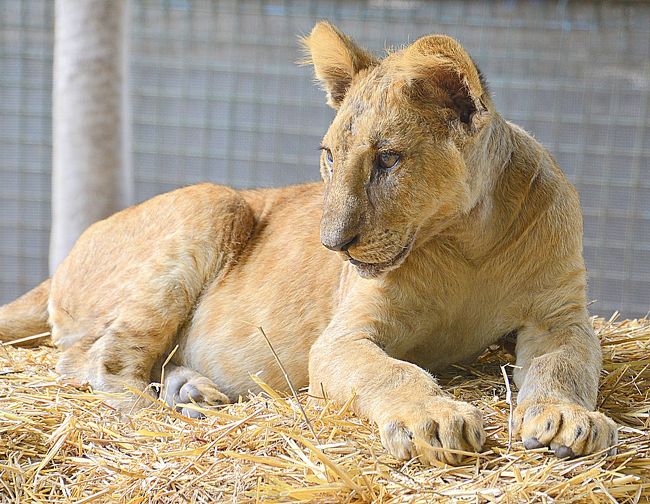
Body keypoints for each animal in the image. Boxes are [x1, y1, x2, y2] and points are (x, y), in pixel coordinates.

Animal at [1, 22, 616, 464]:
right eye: (329, 157)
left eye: (387, 159)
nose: (333, 244)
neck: (468, 240)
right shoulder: (343, 338)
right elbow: (390, 372)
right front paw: (433, 418)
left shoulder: (559, 316)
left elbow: (565, 367)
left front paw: (565, 419)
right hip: (216, 203)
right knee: (92, 362)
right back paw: (164, 419)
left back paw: (192, 393)